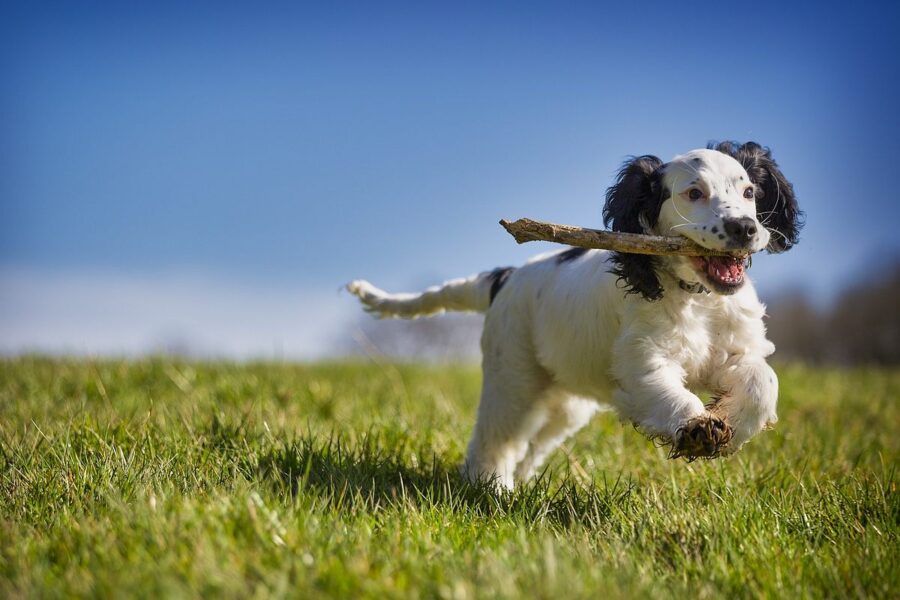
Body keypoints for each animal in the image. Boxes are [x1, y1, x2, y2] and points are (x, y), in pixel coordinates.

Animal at [350, 143, 800, 490]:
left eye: (749, 191)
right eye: (693, 193)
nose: (745, 228)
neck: (696, 298)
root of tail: (505, 277)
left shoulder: (735, 351)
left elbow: (763, 382)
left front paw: (729, 424)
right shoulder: (642, 361)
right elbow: (668, 392)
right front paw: (697, 429)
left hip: (565, 403)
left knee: (532, 445)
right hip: (513, 377)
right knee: (495, 439)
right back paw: (491, 489)